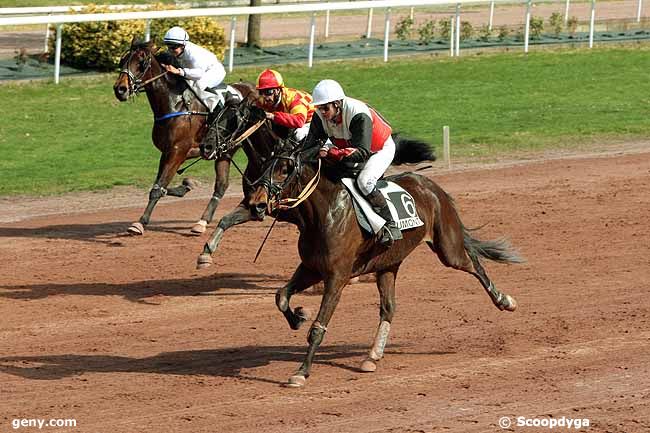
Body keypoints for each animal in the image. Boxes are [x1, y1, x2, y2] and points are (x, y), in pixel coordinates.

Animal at [112, 40, 252, 235]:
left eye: (141, 62)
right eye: (123, 60)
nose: (120, 89)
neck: (175, 104)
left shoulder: (178, 151)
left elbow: (158, 188)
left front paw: (140, 223)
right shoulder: (168, 152)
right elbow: (160, 185)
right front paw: (185, 186)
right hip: (225, 151)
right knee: (221, 185)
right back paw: (202, 221)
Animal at [244, 146, 520, 388]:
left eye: (285, 169)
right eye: (264, 165)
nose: (256, 204)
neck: (325, 215)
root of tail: (430, 185)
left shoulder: (336, 277)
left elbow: (317, 328)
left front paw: (301, 372)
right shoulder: (311, 268)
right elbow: (281, 296)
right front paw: (298, 317)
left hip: (448, 249)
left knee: (474, 263)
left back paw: (505, 301)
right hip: (388, 265)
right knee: (388, 308)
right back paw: (371, 356)